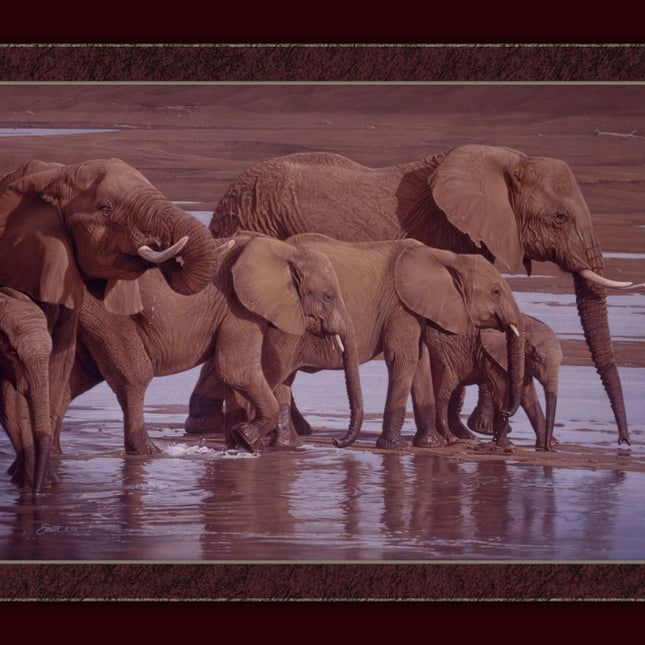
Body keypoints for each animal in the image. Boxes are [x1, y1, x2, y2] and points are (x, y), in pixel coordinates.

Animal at [0, 158, 219, 492]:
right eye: (105, 208)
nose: (169, 250)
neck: (55, 176)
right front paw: (33, 482)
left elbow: (56, 362)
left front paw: (40, 481)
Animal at [57, 233, 363, 457]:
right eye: (329, 297)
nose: (336, 443)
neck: (285, 250)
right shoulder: (239, 307)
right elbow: (238, 370)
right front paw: (247, 439)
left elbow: (234, 378)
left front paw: (238, 445)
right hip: (108, 315)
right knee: (133, 376)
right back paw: (149, 452)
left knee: (72, 380)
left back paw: (55, 451)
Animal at [197, 233, 525, 451]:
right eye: (496, 292)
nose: (335, 441)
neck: (444, 256)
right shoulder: (400, 305)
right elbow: (403, 359)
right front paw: (392, 446)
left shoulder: (412, 308)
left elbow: (419, 362)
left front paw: (430, 445)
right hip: (282, 321)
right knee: (274, 373)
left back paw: (284, 443)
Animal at [425, 313, 562, 450]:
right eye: (537, 357)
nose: (547, 449)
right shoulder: (491, 355)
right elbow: (503, 389)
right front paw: (507, 445)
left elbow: (528, 395)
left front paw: (552, 443)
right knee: (446, 389)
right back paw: (455, 438)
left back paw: (468, 437)